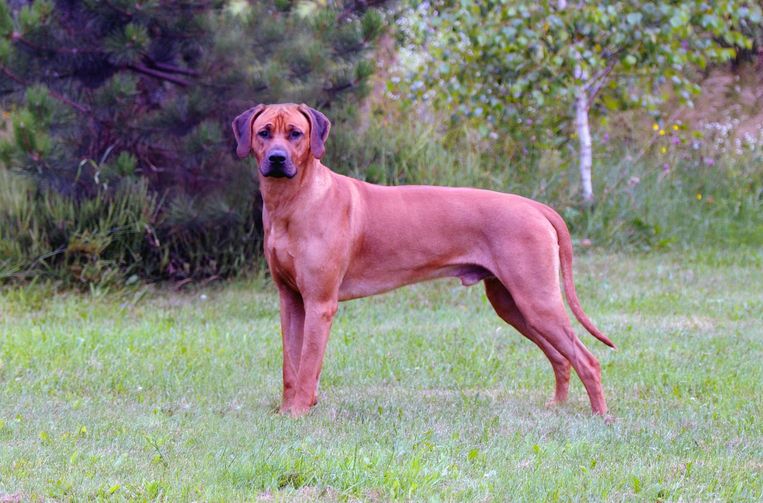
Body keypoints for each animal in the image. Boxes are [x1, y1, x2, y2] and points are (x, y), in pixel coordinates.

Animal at [231, 104, 616, 420]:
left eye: (296, 133)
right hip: (512, 304)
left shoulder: (319, 303)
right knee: (561, 357)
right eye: (264, 132)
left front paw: (298, 413)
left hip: (537, 300)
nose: (277, 159)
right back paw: (559, 406)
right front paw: (287, 410)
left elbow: (308, 365)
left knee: (587, 359)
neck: (294, 201)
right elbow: (290, 367)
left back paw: (601, 415)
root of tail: (534, 206)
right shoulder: (291, 301)